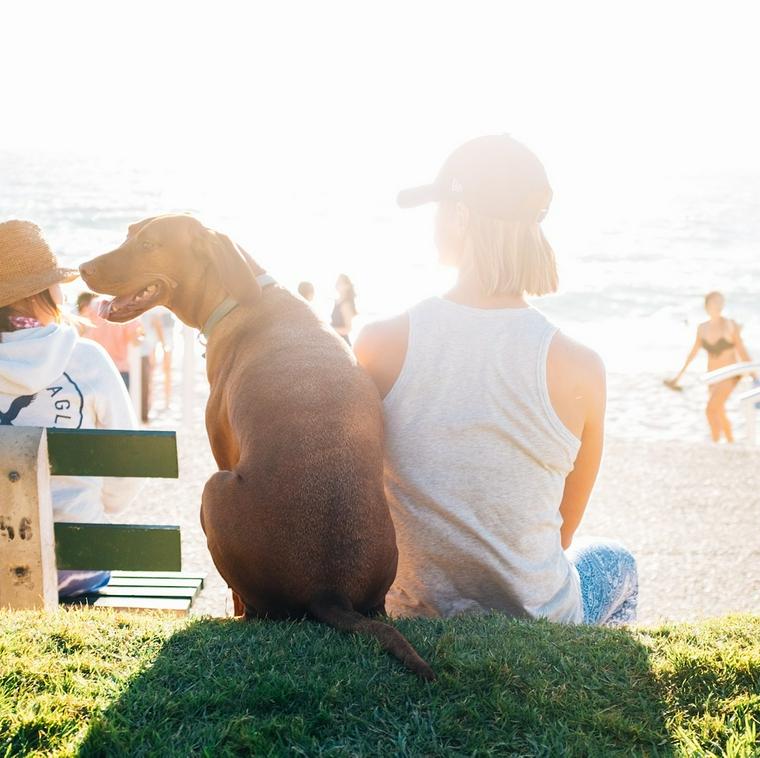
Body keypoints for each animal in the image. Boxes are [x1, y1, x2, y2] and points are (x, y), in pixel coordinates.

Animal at [81, 215, 434, 684]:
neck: (241, 294)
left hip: (213, 489)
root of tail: (330, 591)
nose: (82, 268)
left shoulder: (222, 450)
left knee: (252, 607)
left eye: (149, 245)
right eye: (128, 235)